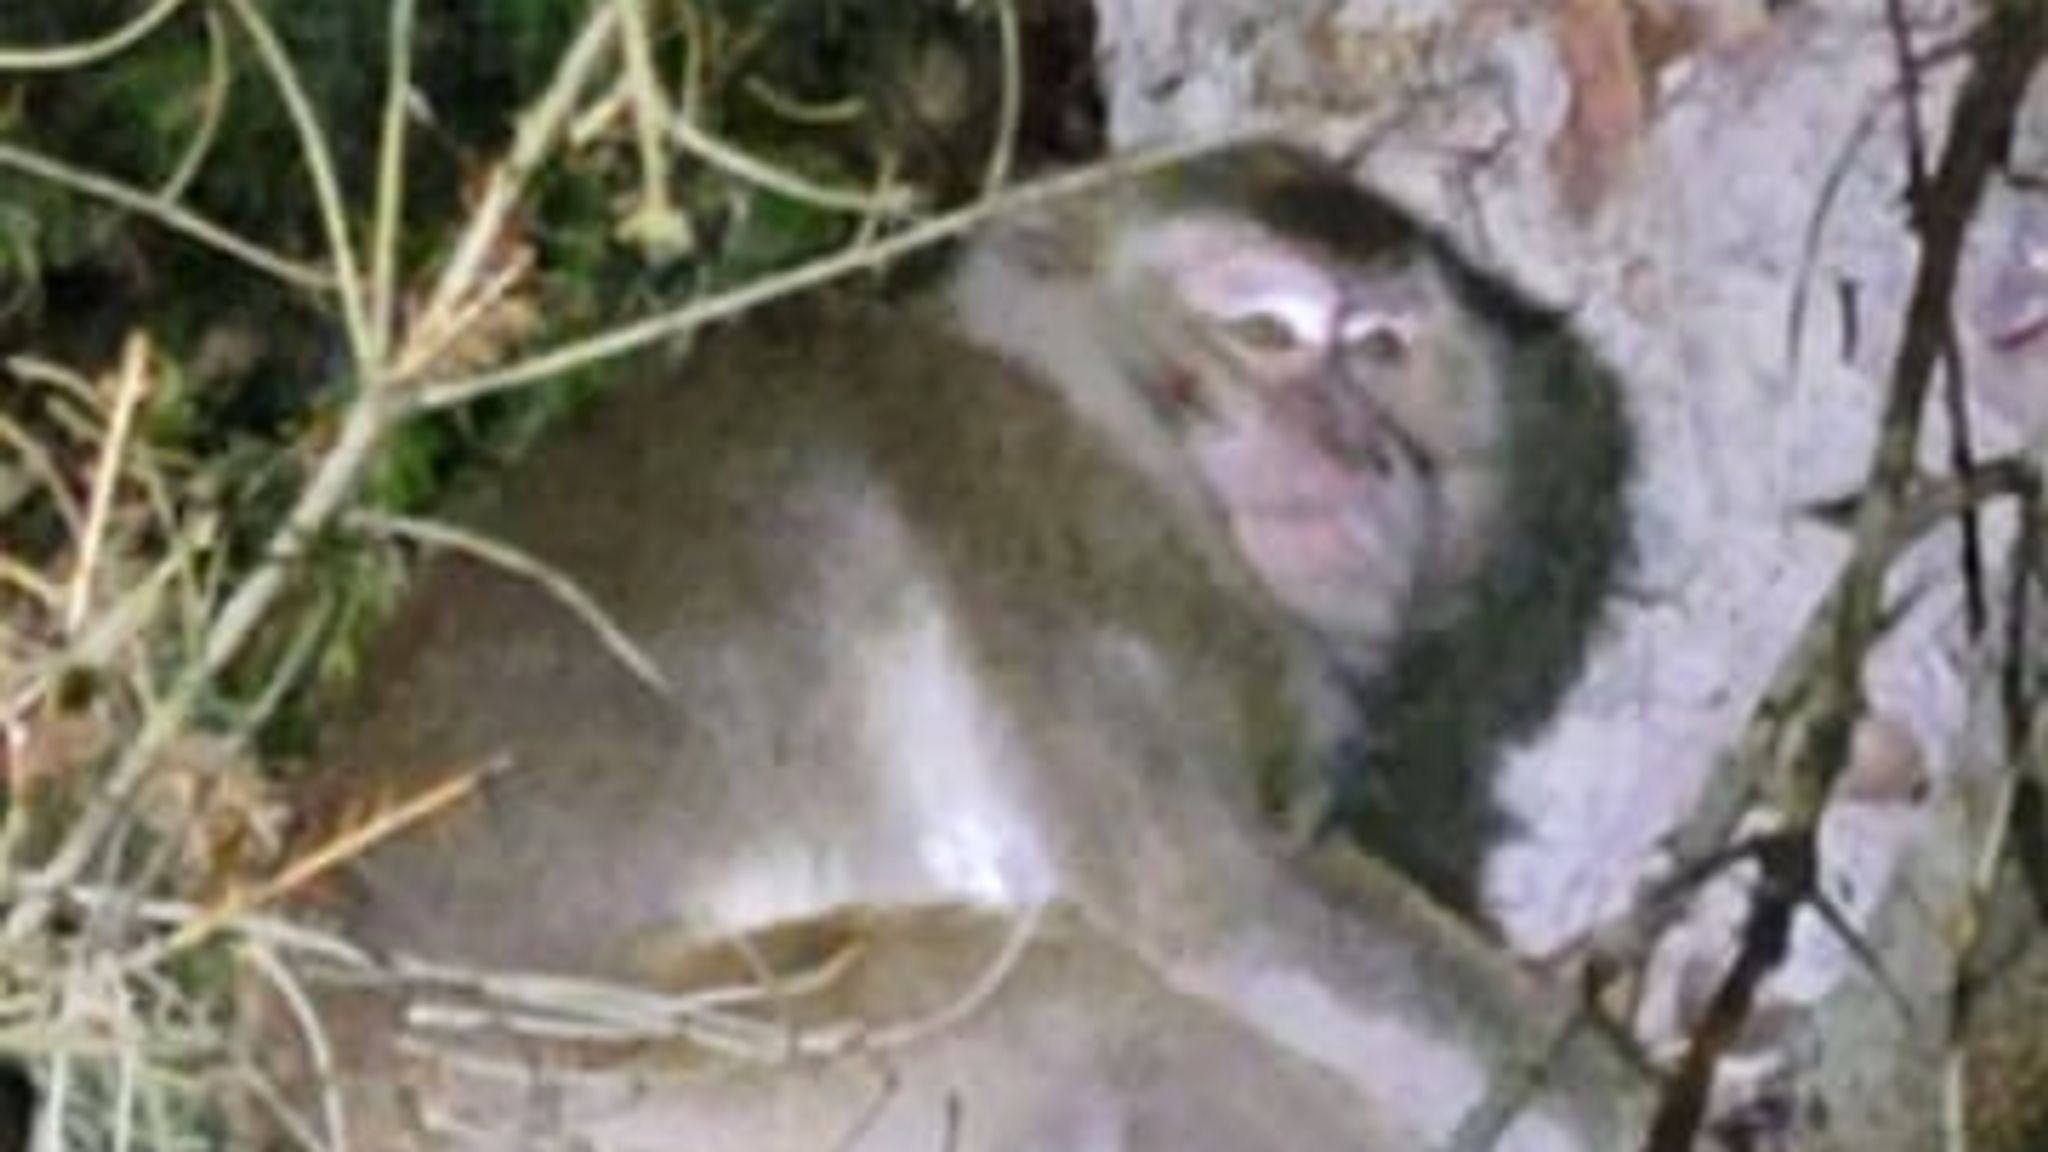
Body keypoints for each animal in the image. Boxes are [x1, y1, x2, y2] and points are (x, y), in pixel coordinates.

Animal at [236, 140, 1653, 1151]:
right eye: (1260, 331)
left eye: (1382, 349)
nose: (1356, 453)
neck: (1092, 411)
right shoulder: (1059, 532)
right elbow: (1209, 903)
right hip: (648, 1088)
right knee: (1091, 1005)